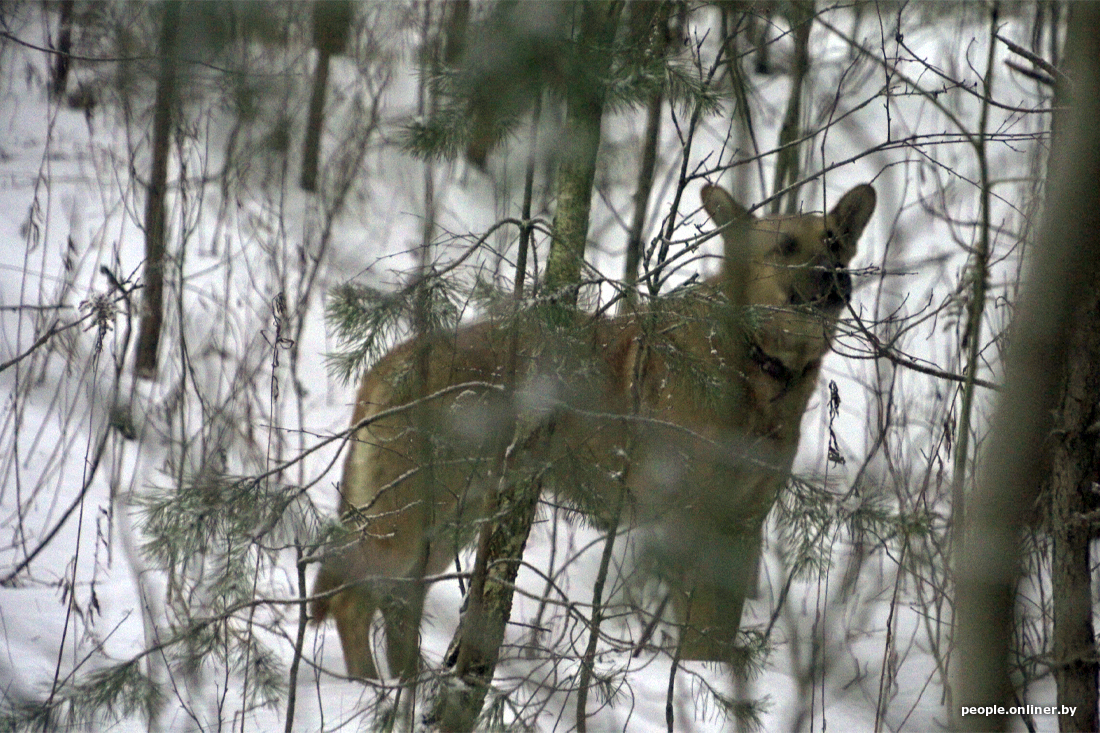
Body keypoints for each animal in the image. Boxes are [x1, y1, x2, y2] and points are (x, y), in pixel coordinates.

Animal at [312, 182, 875, 677]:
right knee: (352, 604)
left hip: (451, 519)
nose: (835, 279)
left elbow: (717, 634)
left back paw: (407, 688)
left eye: (835, 242)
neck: (754, 364)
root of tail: (386, 364)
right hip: (411, 517)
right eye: (786, 247)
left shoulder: (740, 523)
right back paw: (371, 693)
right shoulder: (690, 519)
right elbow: (696, 636)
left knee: (398, 608)